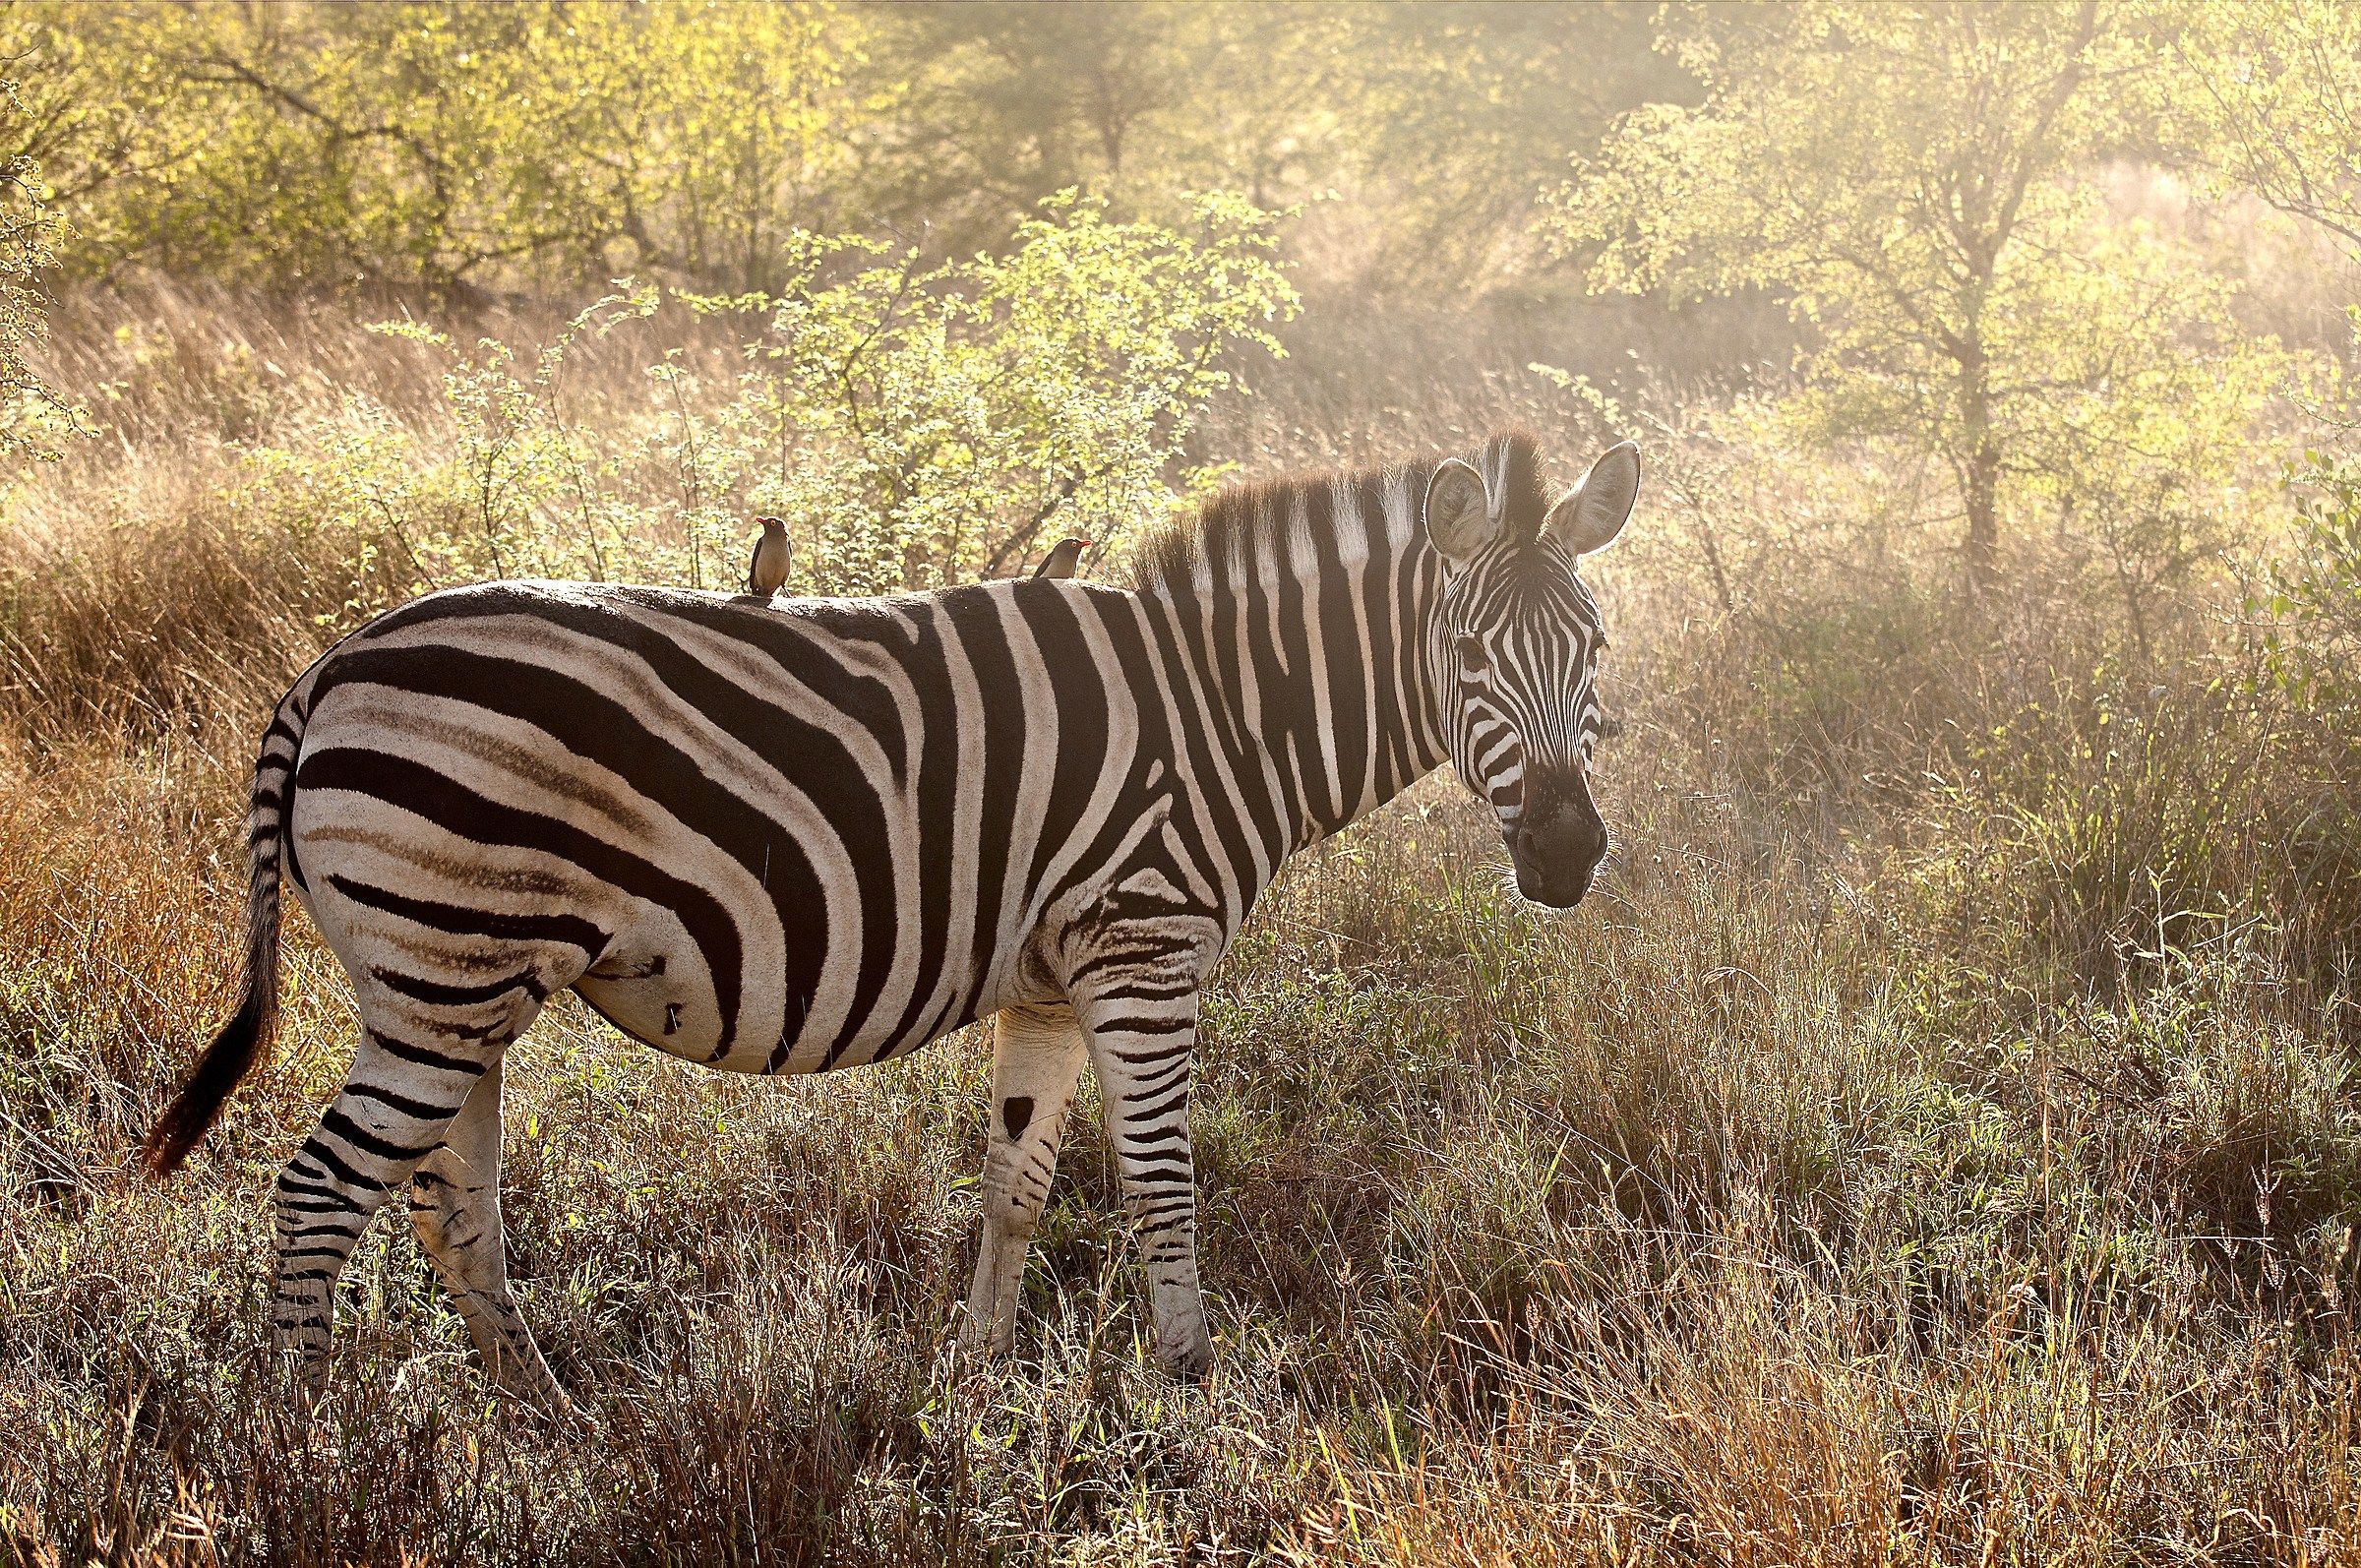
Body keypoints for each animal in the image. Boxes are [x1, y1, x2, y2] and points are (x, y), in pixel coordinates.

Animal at [143, 429, 1638, 1407]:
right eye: (1467, 657)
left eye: (1597, 650)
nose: (1570, 856)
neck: (1221, 710)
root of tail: (327, 667)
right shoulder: (1143, 949)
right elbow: (1161, 1178)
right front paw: (1193, 1387)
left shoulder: (1050, 977)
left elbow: (1019, 1179)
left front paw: (974, 1387)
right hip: (444, 972)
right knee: (324, 1188)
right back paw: (302, 1449)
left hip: (453, 987)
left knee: (448, 1205)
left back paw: (543, 1421)